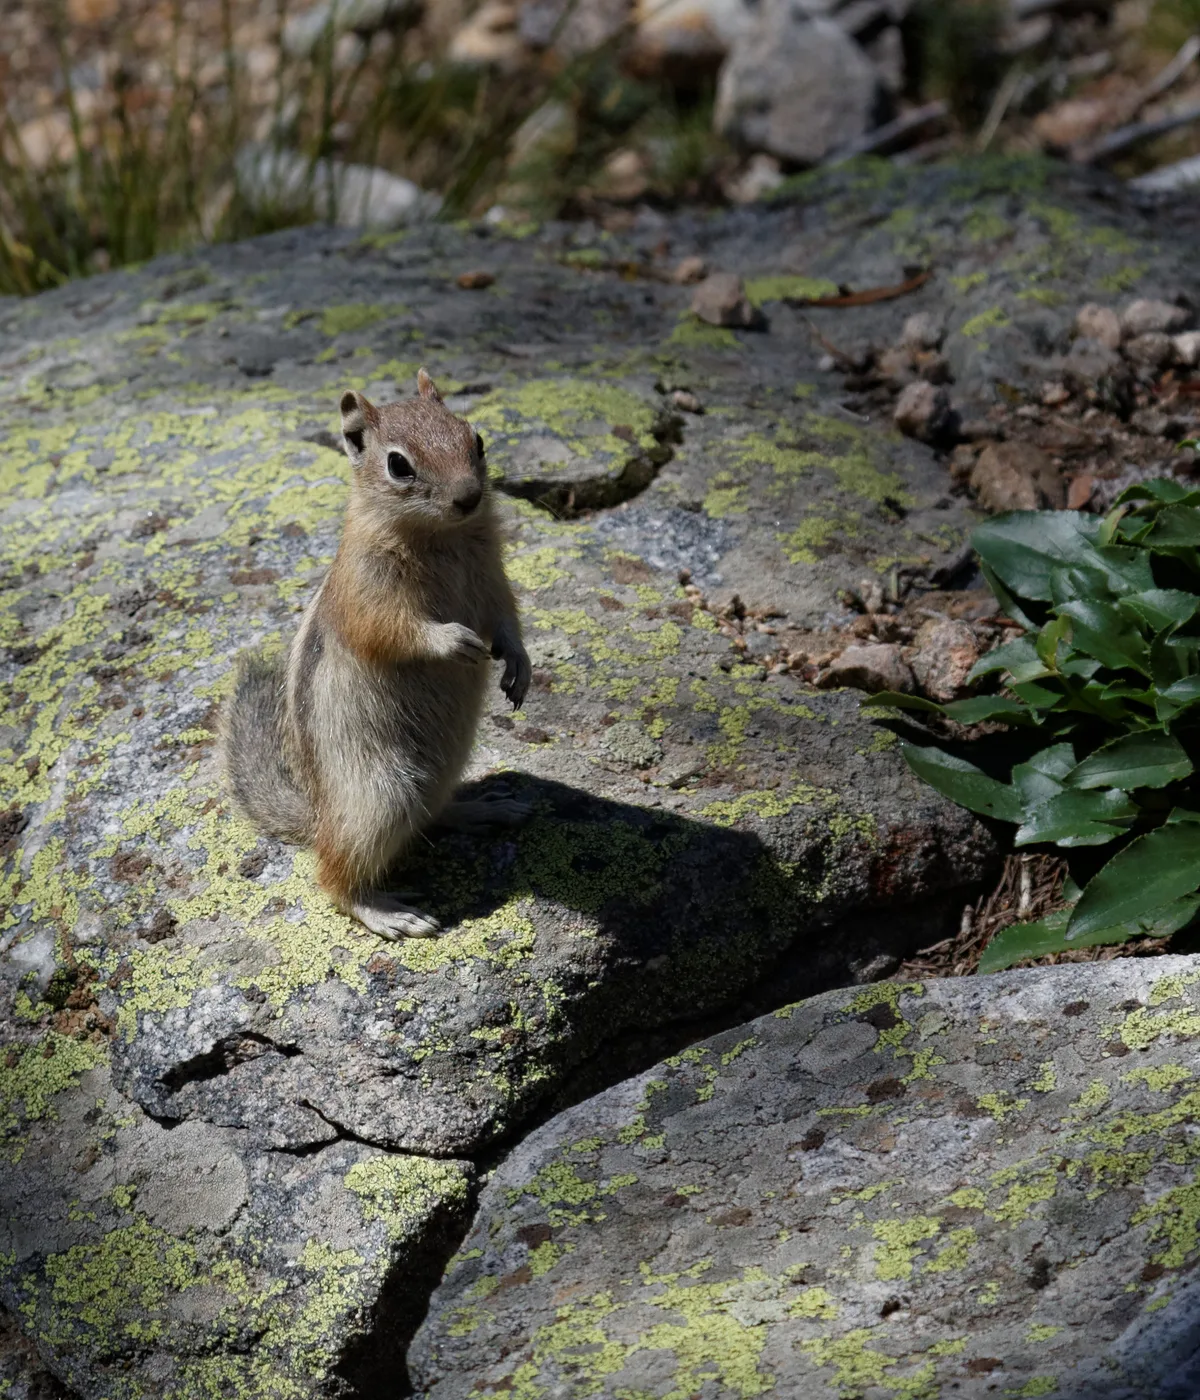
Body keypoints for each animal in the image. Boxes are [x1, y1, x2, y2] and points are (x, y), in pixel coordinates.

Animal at [220, 368, 532, 939]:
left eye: (476, 439)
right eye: (398, 465)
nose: (469, 496)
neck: (443, 538)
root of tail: (318, 819)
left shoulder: (495, 579)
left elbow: (508, 621)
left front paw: (520, 666)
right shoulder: (368, 594)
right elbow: (391, 632)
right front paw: (454, 641)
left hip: (443, 768)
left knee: (431, 816)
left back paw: (486, 809)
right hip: (380, 797)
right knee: (334, 878)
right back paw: (390, 913)